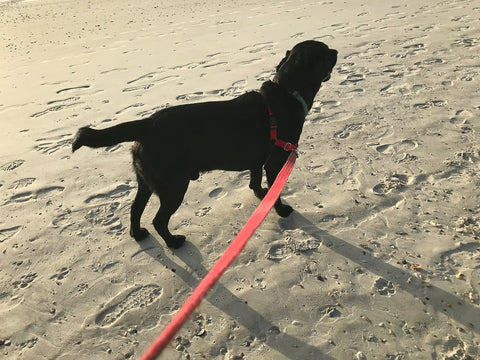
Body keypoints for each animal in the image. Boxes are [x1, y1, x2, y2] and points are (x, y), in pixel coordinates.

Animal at [72, 39, 338, 248]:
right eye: (325, 52)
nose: (335, 50)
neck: (287, 92)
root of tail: (146, 124)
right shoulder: (275, 163)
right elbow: (275, 190)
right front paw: (280, 210)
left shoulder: (257, 161)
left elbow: (254, 181)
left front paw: (261, 194)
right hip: (173, 186)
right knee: (159, 220)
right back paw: (173, 242)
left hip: (146, 181)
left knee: (135, 210)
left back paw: (138, 235)